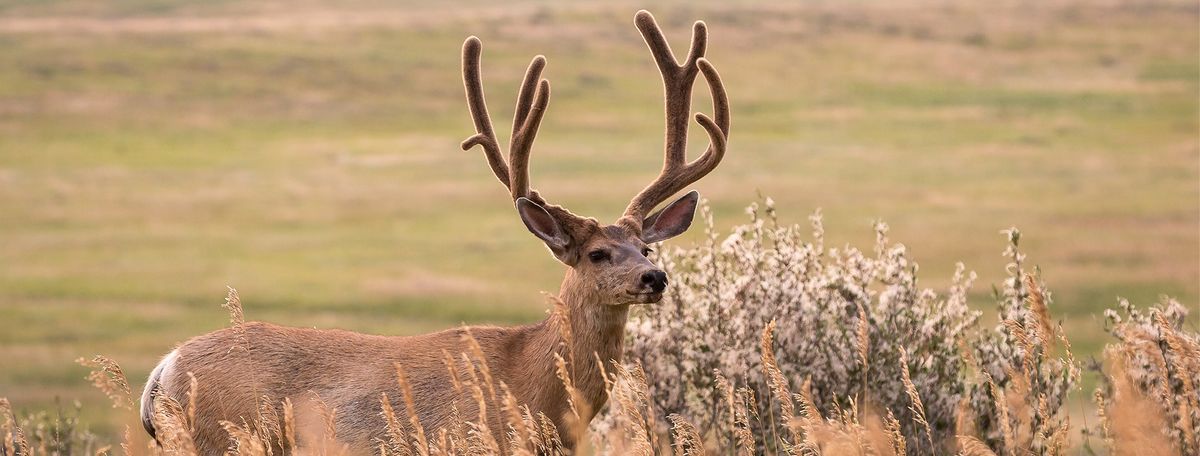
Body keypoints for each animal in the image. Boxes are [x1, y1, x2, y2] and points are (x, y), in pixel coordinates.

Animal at [136, 8, 724, 453]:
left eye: (646, 246)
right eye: (598, 253)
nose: (654, 278)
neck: (535, 386)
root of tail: (163, 370)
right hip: (228, 437)